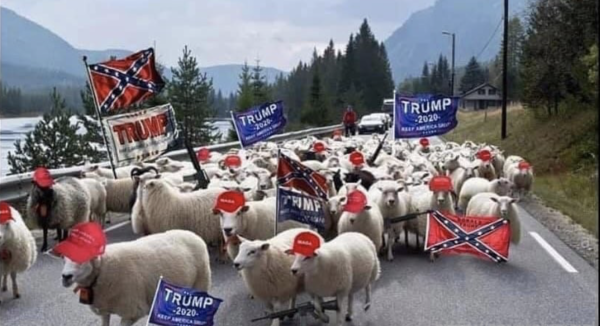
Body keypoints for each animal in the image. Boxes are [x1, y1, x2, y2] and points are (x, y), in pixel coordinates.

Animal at [60, 229, 211, 326]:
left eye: (83, 258)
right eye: (64, 258)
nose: (66, 277)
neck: (103, 270)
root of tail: (192, 233)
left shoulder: (131, 311)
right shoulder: (104, 309)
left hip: (200, 282)